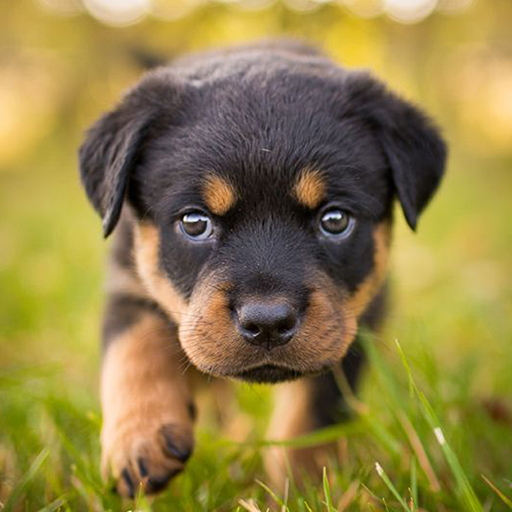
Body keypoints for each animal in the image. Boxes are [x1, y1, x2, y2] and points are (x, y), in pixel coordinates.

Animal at [78, 42, 446, 498]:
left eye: (335, 220)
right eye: (194, 222)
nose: (267, 322)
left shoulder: (358, 315)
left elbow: (317, 402)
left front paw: (306, 481)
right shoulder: (128, 280)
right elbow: (133, 349)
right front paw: (139, 441)